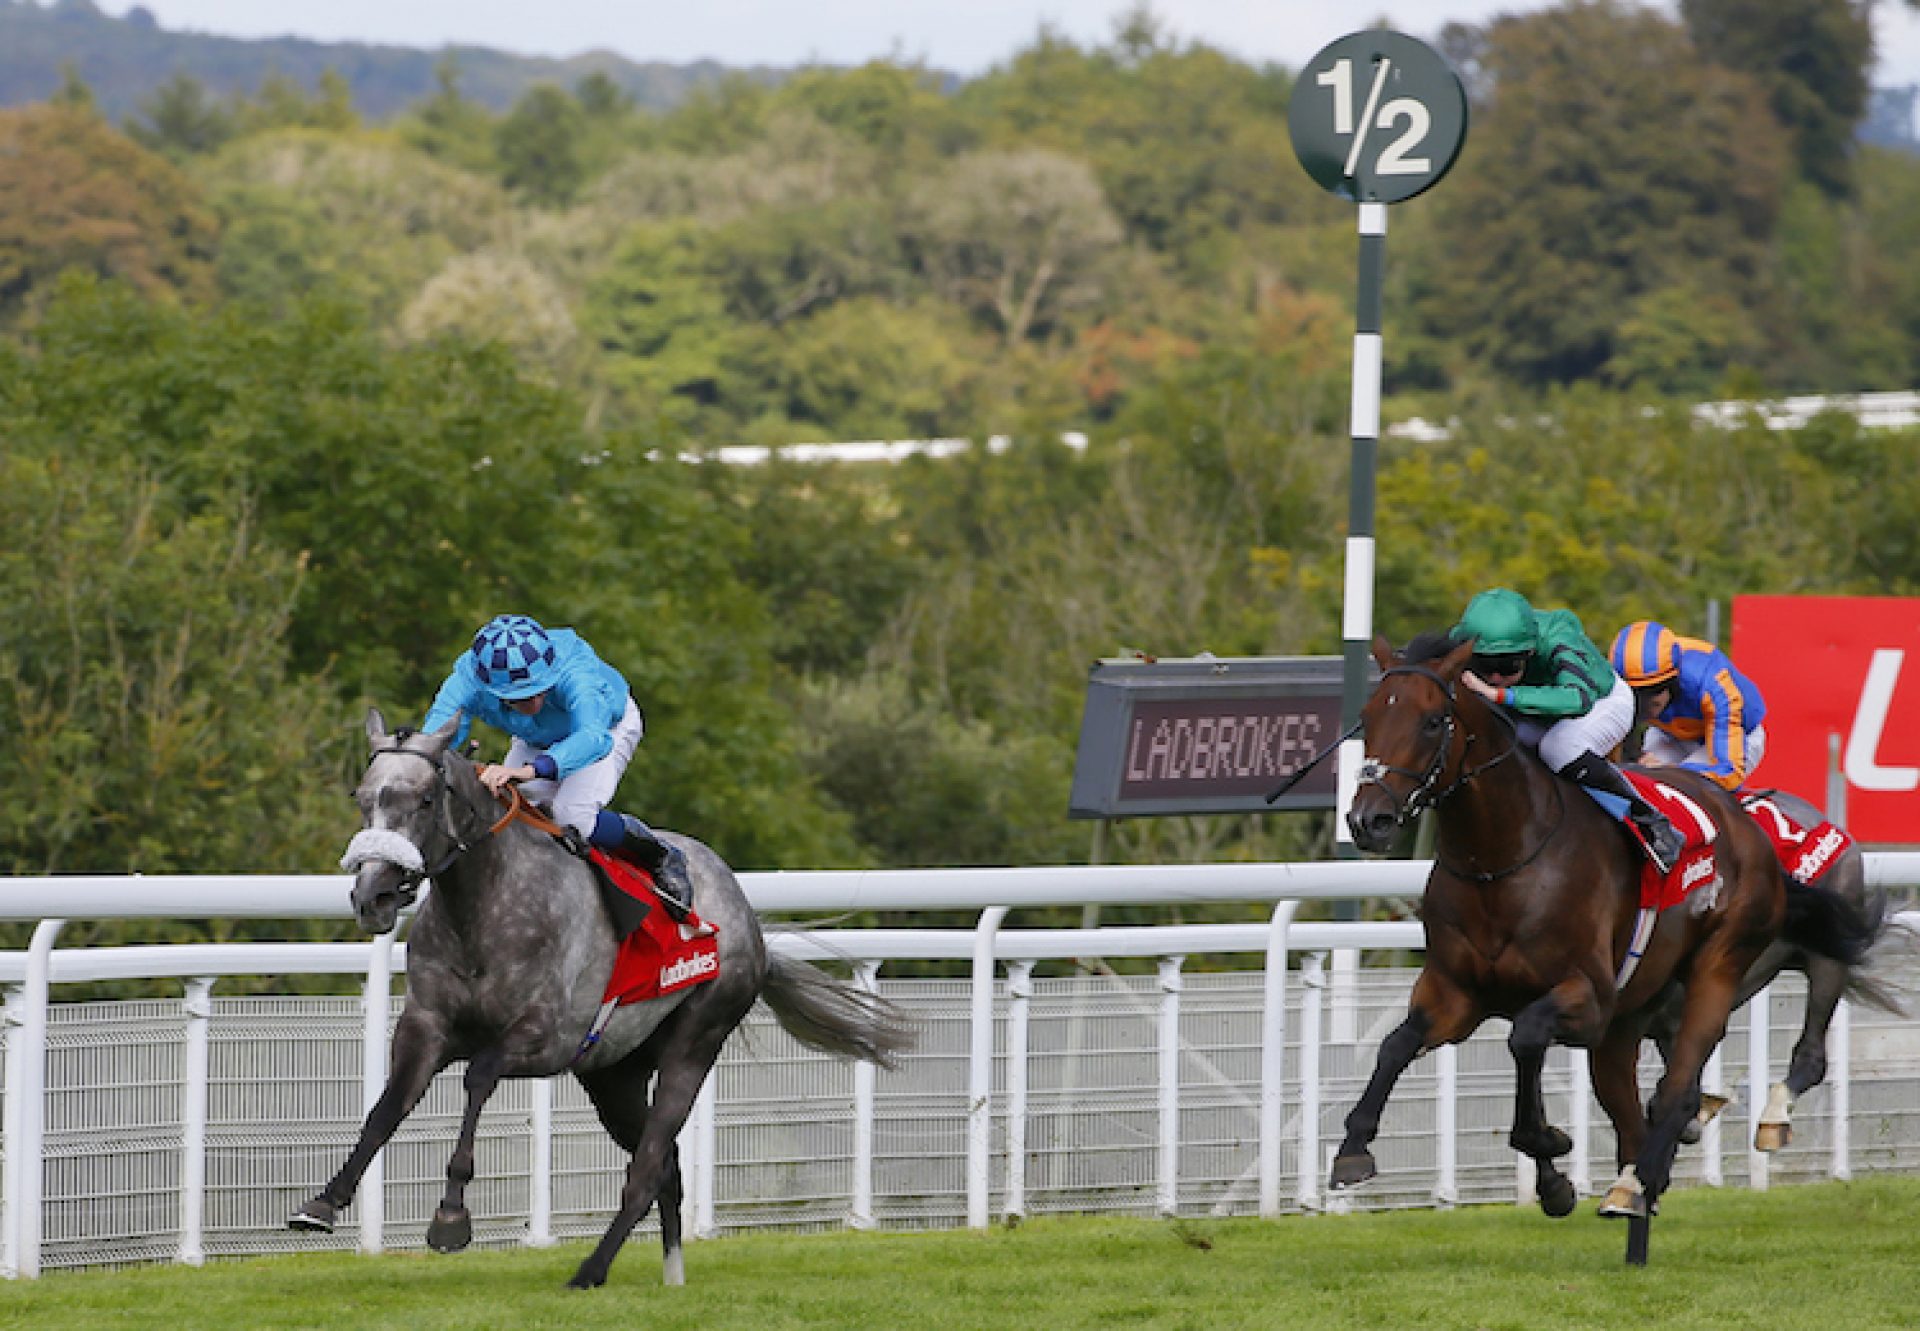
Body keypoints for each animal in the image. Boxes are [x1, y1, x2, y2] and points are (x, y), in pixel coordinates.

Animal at [286, 710, 913, 1282]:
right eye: (362, 798)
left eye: (421, 801)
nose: (372, 895)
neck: (483, 910)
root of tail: (750, 921)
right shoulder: (426, 1025)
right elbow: (387, 1107)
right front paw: (324, 1202)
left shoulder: (546, 1039)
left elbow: (479, 1077)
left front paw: (450, 1217)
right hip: (614, 1074)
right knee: (666, 1167)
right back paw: (671, 1275)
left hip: (695, 1041)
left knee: (649, 1165)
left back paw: (590, 1270)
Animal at [1336, 633, 1873, 1259]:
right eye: (1369, 716)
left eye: (1431, 721)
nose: (1368, 819)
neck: (1503, 860)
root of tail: (1746, 826)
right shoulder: (1455, 993)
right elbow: (1395, 1045)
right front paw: (1353, 1150)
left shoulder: (1588, 999)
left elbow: (1525, 1038)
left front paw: (1548, 1147)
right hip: (1625, 1028)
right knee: (1637, 1115)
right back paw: (1635, 1208)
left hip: (1726, 966)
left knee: (1690, 1085)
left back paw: (1650, 1177)